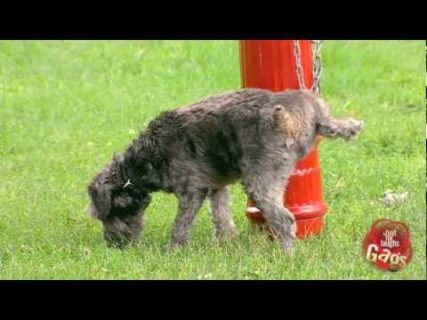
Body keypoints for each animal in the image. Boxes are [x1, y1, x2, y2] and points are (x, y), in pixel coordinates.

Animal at [87, 89, 364, 254]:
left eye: (108, 214)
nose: (113, 245)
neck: (144, 159)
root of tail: (303, 115)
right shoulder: (217, 188)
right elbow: (221, 218)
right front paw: (225, 243)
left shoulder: (192, 191)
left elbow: (180, 226)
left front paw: (173, 251)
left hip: (260, 182)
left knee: (285, 221)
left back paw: (287, 256)